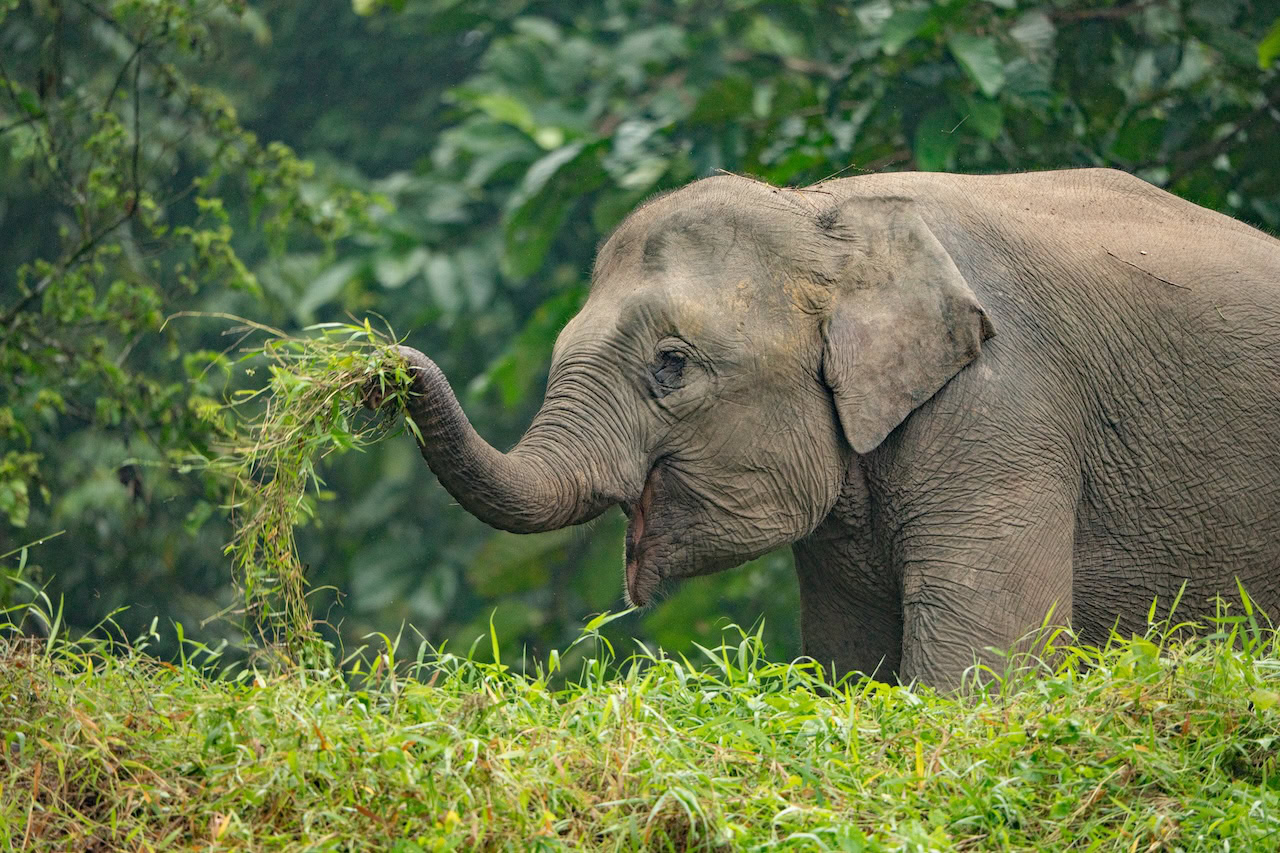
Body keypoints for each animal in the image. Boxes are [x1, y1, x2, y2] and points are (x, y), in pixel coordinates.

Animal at [378, 168, 1280, 689]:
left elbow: (982, 674)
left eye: (670, 364)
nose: (384, 362)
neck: (826, 213)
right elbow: (852, 667)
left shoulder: (1008, 411)